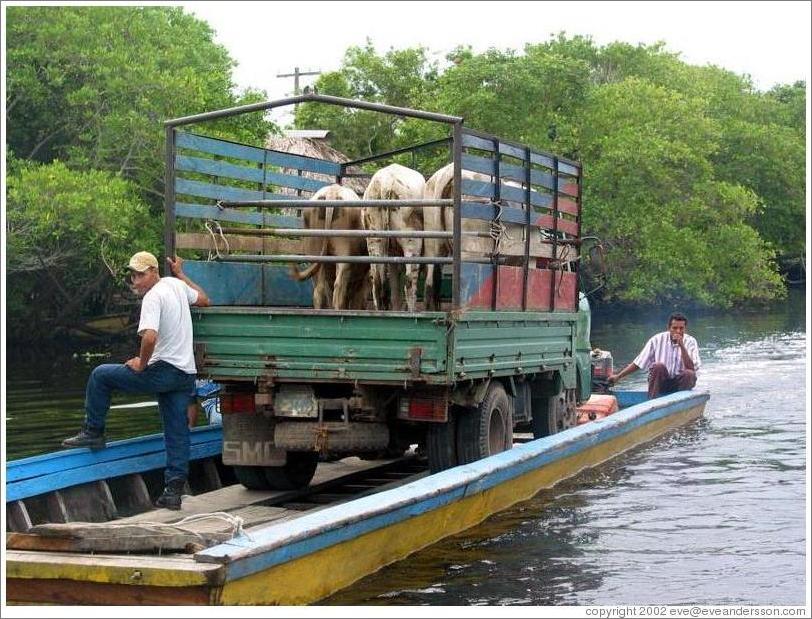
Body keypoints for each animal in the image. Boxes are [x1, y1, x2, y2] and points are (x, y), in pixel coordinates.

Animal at [360, 163, 426, 312]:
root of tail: (385, 182)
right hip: (411, 237)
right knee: (409, 281)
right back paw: (412, 312)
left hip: (373, 234)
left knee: (377, 281)